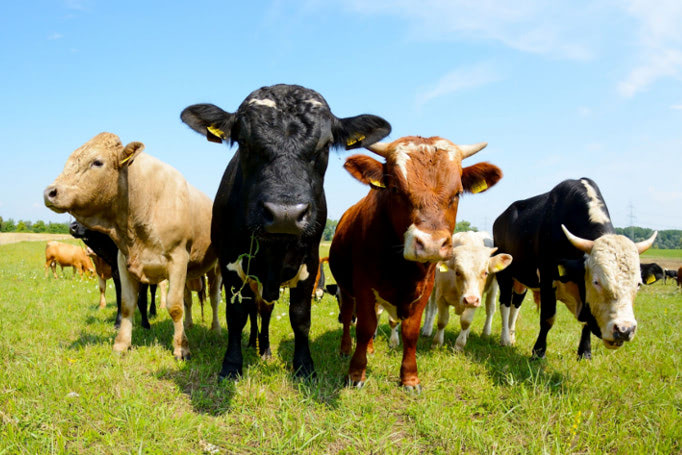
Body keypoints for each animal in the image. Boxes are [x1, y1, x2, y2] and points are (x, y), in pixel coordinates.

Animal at [42, 132, 222, 360]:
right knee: (188, 299)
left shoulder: (178, 259)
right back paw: (189, 325)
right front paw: (121, 344)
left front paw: (181, 348)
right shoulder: (123, 261)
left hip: (215, 268)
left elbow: (174, 305)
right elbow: (128, 304)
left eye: (97, 162)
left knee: (214, 298)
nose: (50, 192)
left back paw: (215, 329)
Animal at [178, 83, 390, 382]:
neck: (274, 250)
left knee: (265, 310)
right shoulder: (230, 264)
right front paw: (231, 365)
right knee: (254, 309)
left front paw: (304, 366)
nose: (285, 214)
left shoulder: (309, 264)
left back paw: (264, 348)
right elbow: (236, 314)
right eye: (244, 142)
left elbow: (300, 317)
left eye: (325, 146)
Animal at [326, 134, 502, 388]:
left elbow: (411, 332)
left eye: (457, 193)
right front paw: (356, 373)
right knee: (349, 314)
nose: (431, 244)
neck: (400, 268)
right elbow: (365, 326)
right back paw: (346, 349)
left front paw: (409, 378)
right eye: (395, 188)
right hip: (345, 287)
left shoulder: (425, 290)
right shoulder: (363, 287)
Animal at [492, 178, 656, 360]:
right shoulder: (547, 277)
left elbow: (586, 323)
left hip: (522, 279)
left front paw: (585, 352)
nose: (624, 330)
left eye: (638, 284)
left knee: (516, 306)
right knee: (505, 304)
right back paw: (505, 339)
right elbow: (548, 318)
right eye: (596, 282)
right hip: (505, 275)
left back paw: (511, 337)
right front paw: (538, 352)